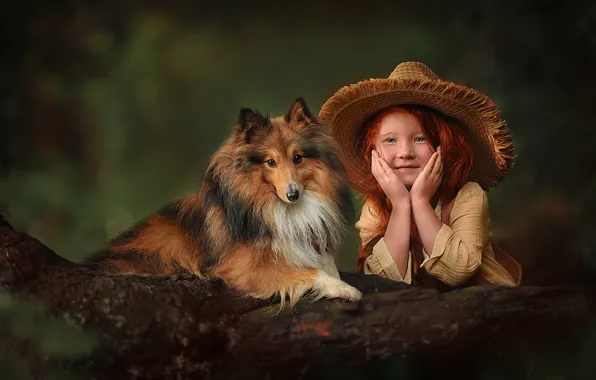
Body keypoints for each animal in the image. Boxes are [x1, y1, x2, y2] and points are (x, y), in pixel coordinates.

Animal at [85, 96, 364, 308]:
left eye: (297, 157)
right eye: (270, 162)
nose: (292, 194)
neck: (278, 207)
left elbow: (327, 263)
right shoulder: (245, 267)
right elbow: (310, 272)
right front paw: (345, 289)